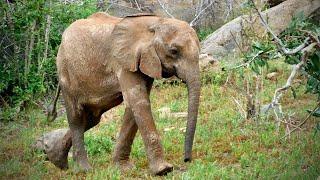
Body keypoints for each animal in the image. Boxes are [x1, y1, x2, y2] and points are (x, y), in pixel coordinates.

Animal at [49, 12, 200, 176]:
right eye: (174, 51)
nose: (187, 160)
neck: (154, 21)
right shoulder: (122, 61)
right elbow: (139, 102)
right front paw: (163, 170)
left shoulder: (142, 61)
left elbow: (134, 107)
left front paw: (122, 168)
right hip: (66, 73)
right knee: (76, 117)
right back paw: (83, 169)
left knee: (91, 119)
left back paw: (56, 159)